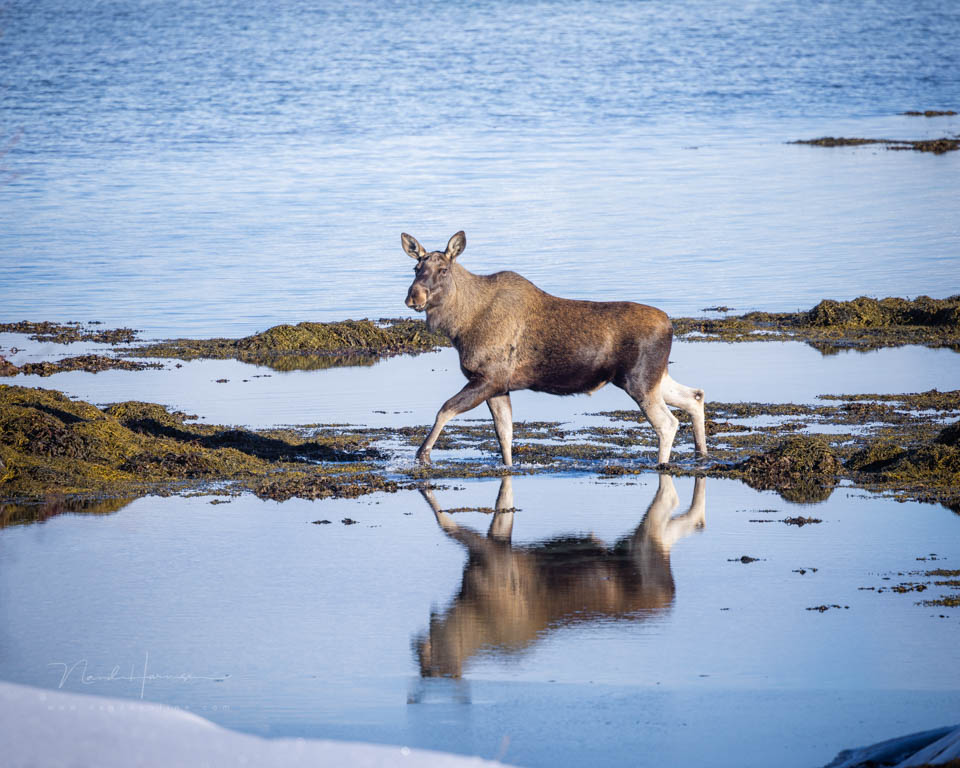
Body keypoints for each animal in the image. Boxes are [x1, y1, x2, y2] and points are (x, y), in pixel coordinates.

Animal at [402, 231, 708, 464]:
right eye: (416, 269)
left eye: (443, 270)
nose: (414, 297)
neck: (460, 326)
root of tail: (669, 326)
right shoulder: (499, 386)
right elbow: (505, 436)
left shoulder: (489, 379)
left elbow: (445, 410)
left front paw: (423, 454)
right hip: (654, 377)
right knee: (695, 396)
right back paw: (701, 454)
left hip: (639, 381)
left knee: (668, 423)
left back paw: (662, 465)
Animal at [416, 474, 708, 680]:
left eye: (438, 661)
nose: (417, 648)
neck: (467, 608)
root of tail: (670, 590)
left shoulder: (491, 556)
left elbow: (446, 525)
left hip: (643, 543)